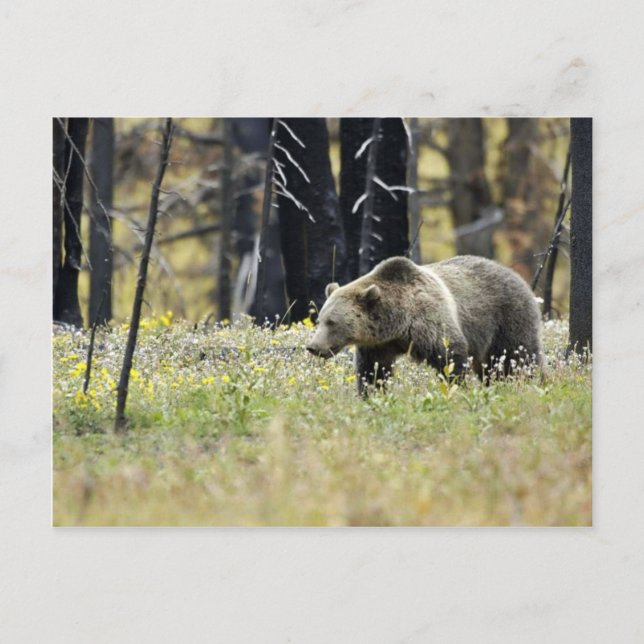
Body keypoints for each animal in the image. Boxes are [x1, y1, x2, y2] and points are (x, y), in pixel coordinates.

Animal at [306, 255, 543, 394]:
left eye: (332, 322)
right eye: (320, 319)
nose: (313, 347)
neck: (398, 323)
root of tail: (515, 275)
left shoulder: (429, 322)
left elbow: (450, 356)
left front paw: (457, 388)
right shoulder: (378, 344)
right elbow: (373, 370)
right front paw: (372, 393)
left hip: (507, 317)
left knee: (516, 357)